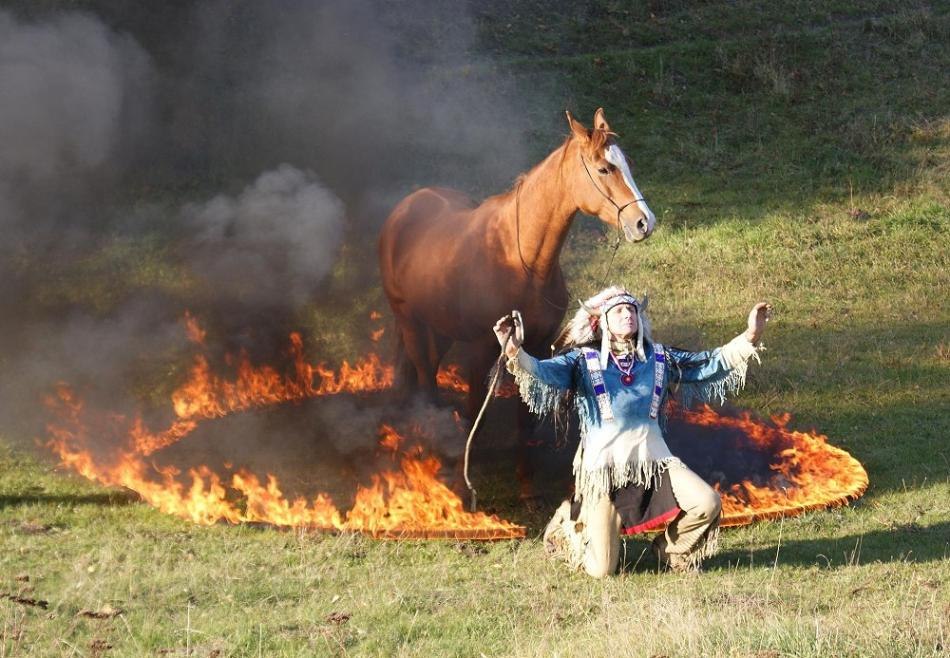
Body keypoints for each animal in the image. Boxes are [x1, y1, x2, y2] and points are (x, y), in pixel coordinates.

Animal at [378, 107, 656, 484]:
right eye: (603, 168)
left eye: (627, 163)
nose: (644, 222)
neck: (521, 261)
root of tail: (403, 209)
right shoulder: (481, 348)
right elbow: (474, 415)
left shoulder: (536, 345)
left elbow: (526, 417)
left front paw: (526, 478)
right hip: (411, 323)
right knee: (424, 378)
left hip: (440, 328)